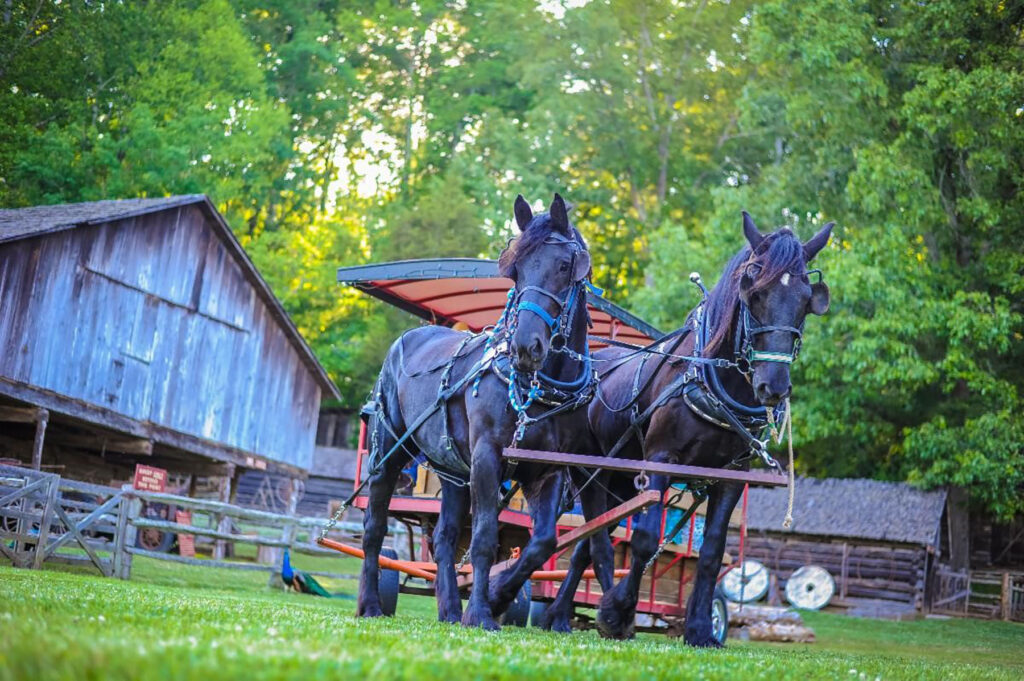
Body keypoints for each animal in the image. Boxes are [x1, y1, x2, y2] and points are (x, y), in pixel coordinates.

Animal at [358, 191, 598, 626]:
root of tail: (410, 336)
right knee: (374, 528)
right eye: (515, 269)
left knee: (444, 537)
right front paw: (483, 612)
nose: (525, 346)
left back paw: (451, 609)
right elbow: (486, 536)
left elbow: (541, 542)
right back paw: (370, 604)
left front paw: (500, 596)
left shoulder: (549, 469)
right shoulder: (487, 457)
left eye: (564, 265)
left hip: (452, 472)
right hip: (388, 452)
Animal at [540, 213, 827, 643]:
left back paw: (558, 615)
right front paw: (617, 613)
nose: (774, 387)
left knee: (588, 543)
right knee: (593, 536)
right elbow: (644, 541)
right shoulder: (661, 458)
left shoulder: (731, 476)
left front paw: (700, 629)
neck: (712, 381)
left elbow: (711, 552)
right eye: (754, 294)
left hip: (621, 482)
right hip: (591, 471)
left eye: (807, 301)